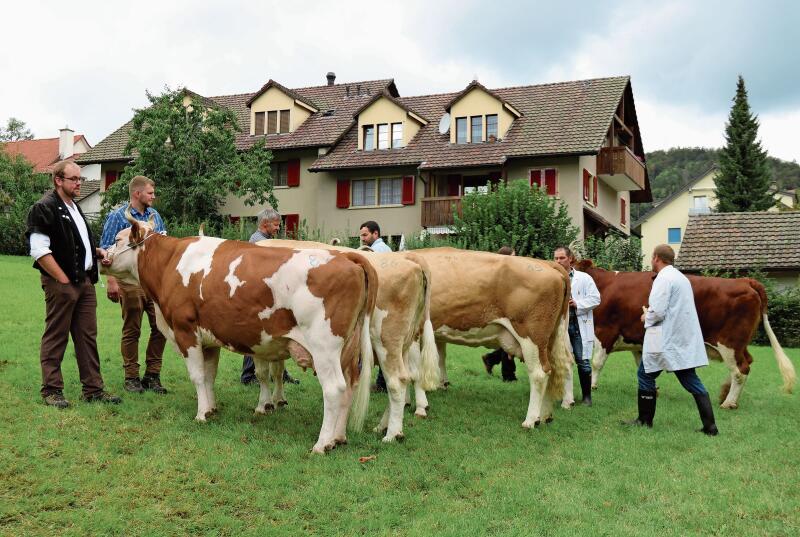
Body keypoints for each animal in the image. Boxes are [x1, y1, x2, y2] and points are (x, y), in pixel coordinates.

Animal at [103, 214, 378, 452]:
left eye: (117, 239)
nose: (99, 255)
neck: (171, 262)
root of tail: (348, 257)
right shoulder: (209, 338)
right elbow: (209, 375)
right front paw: (211, 408)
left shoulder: (185, 330)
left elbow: (197, 376)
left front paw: (201, 414)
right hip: (348, 350)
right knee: (350, 388)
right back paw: (338, 437)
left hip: (324, 348)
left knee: (334, 389)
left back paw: (322, 444)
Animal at [260, 239, 438, 440]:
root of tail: (409, 259)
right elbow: (277, 371)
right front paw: (277, 399)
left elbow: (264, 372)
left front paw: (266, 404)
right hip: (404, 342)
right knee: (404, 378)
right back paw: (386, 425)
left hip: (388, 341)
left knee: (399, 380)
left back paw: (393, 431)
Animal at [410, 247, 572, 428]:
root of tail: (548, 264)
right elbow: (438, 359)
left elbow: (416, 371)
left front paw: (421, 408)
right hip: (552, 338)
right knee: (558, 367)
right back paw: (545, 416)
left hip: (532, 336)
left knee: (539, 373)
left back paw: (530, 420)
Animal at [580, 260, 796, 406]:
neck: (603, 284)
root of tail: (744, 281)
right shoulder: (637, 341)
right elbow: (643, 367)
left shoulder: (605, 332)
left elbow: (596, 363)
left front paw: (592, 386)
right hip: (740, 344)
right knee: (746, 363)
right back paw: (726, 395)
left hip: (730, 342)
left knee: (740, 369)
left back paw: (729, 402)